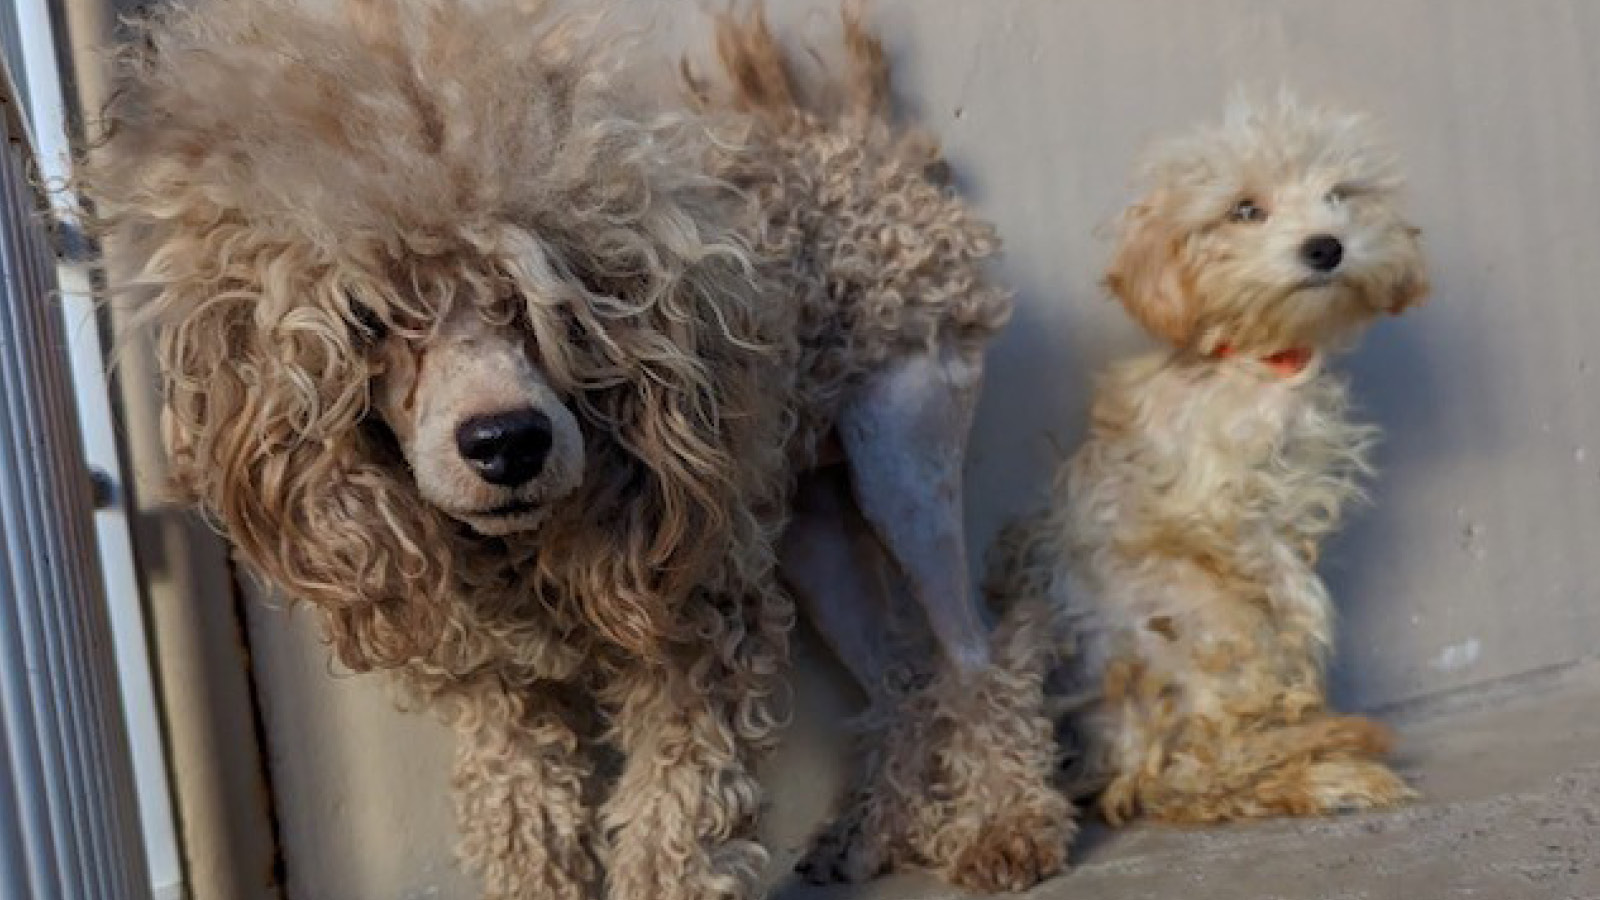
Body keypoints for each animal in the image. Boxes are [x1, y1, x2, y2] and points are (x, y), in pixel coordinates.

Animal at [81, 0, 1070, 897]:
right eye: (374, 316)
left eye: (549, 297)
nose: (506, 441)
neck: (523, 553)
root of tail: (867, 154)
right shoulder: (496, 687)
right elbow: (524, 820)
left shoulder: (696, 631)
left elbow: (675, 831)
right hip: (811, 526)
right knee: (899, 676)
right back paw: (866, 836)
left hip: (904, 456)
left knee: (979, 650)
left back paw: (1008, 828)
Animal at [986, 94, 1428, 826]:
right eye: (1244, 210)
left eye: (1340, 194)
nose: (1327, 246)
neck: (1254, 366)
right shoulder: (1215, 511)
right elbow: (1291, 592)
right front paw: (1308, 650)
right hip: (1200, 624)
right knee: (1193, 775)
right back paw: (1327, 774)